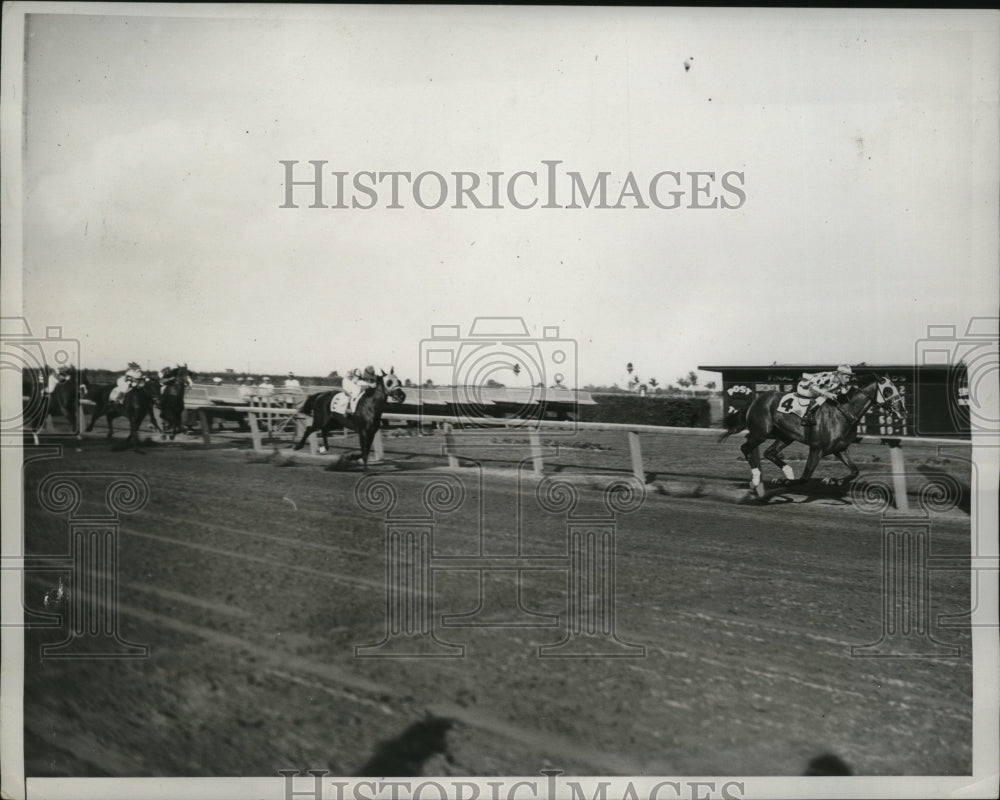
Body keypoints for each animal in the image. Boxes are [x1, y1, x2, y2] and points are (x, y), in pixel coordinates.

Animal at [724, 374, 912, 494]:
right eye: (887, 391)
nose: (902, 411)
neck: (842, 412)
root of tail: (755, 400)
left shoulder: (839, 448)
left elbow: (855, 470)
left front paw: (833, 480)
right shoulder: (816, 448)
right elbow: (805, 477)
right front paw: (783, 481)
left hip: (785, 436)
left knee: (769, 452)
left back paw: (786, 471)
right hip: (761, 433)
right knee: (746, 447)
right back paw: (757, 479)